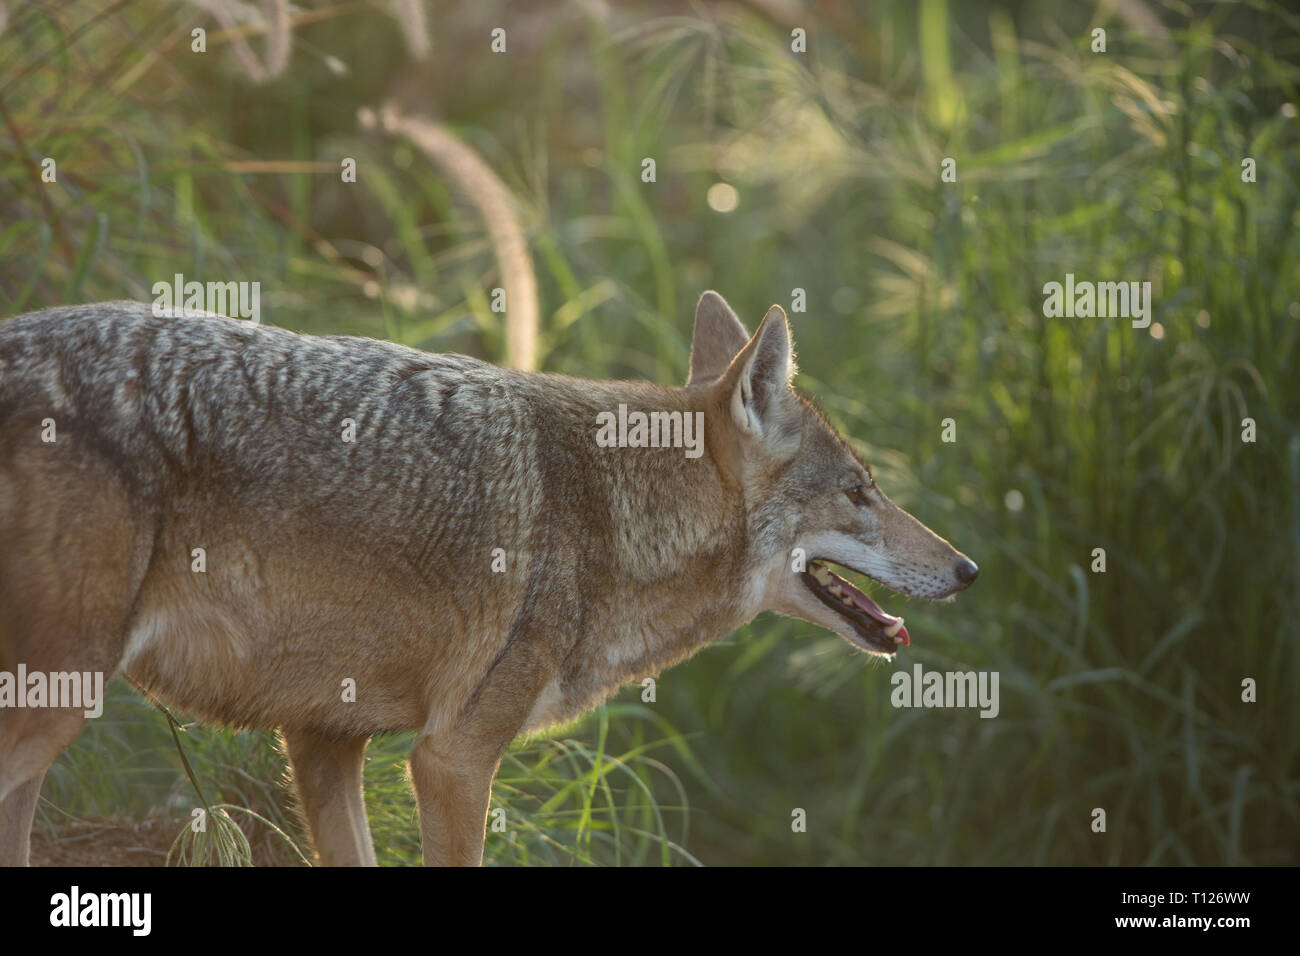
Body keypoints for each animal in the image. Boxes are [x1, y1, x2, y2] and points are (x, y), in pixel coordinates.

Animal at [0, 291, 977, 868]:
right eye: (859, 492)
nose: (968, 569)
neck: (610, 513)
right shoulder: (453, 760)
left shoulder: (323, 742)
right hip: (54, 709)